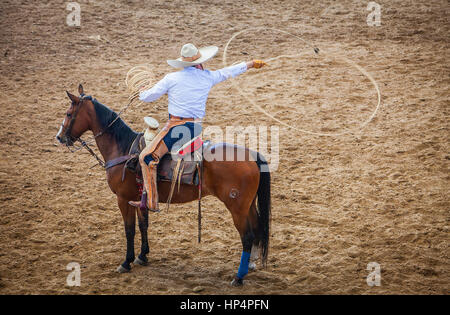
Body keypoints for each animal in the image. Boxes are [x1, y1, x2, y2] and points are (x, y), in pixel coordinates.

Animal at [54, 86, 268, 286]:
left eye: (69, 113)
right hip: (248, 206)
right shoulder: (139, 198)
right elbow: (143, 225)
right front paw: (142, 256)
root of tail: (252, 156)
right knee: (257, 228)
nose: (59, 137)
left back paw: (238, 277)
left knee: (247, 236)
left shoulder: (123, 199)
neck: (123, 149)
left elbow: (129, 229)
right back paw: (250, 264)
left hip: (237, 208)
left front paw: (126, 262)